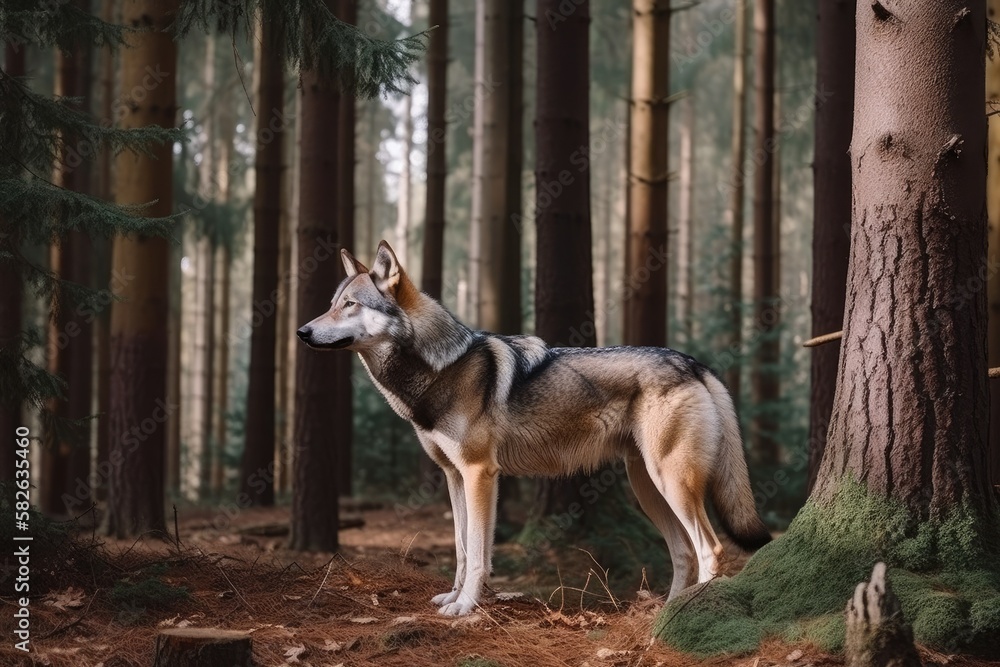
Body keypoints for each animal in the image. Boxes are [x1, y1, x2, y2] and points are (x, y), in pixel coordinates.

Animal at [297, 241, 771, 616]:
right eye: (332, 303)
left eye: (350, 305)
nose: (301, 331)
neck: (441, 367)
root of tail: (693, 363)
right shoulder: (454, 476)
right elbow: (462, 548)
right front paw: (454, 597)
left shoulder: (480, 474)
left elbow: (478, 553)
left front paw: (465, 607)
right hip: (648, 488)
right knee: (683, 552)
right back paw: (666, 615)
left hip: (669, 482)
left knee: (710, 549)